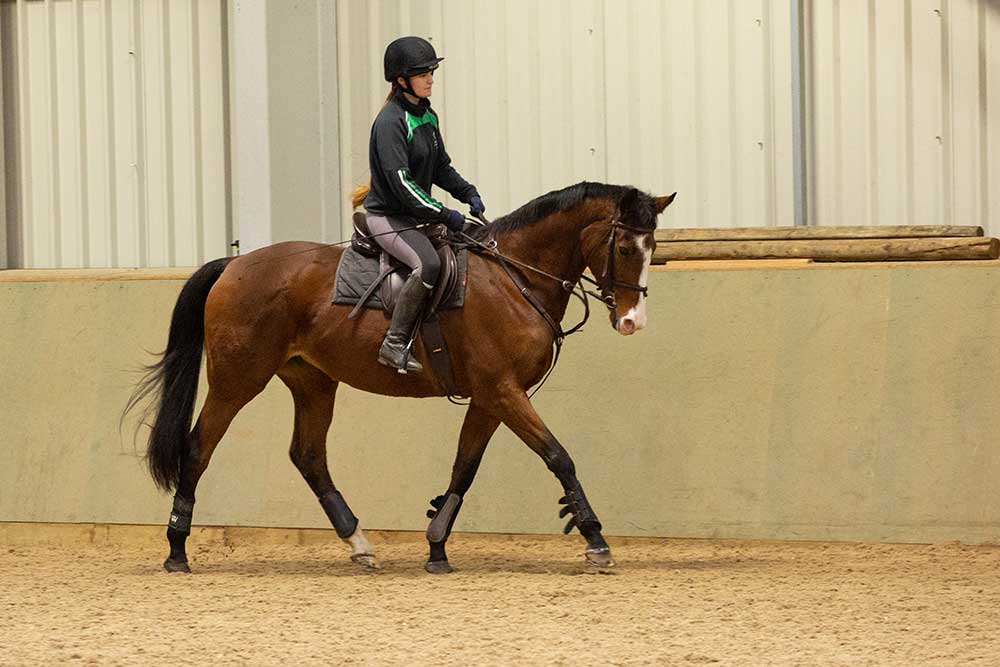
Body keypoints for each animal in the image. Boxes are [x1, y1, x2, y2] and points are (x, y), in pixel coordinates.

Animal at [123, 181, 672, 576]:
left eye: (652, 247)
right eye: (625, 247)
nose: (632, 321)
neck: (514, 278)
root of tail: (235, 262)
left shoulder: (488, 398)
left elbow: (464, 469)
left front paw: (437, 549)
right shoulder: (503, 390)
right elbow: (558, 456)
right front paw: (595, 540)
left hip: (313, 382)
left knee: (309, 456)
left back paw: (359, 544)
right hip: (238, 381)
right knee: (198, 448)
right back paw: (177, 550)